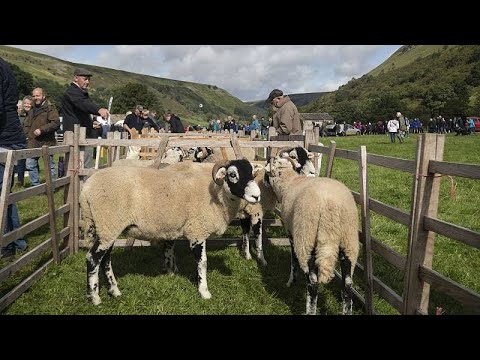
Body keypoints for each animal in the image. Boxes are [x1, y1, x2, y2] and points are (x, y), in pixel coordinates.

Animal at [82, 159, 262, 306]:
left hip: (108, 228)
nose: (257, 196)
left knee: (105, 259)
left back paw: (114, 291)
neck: (217, 195)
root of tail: (86, 188)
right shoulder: (197, 231)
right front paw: (204, 292)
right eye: (232, 174)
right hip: (109, 223)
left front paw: (171, 273)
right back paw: (95, 297)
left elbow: (169, 252)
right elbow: (202, 263)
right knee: (93, 258)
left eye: (252, 172)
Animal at [264, 156, 358, 314]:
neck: (289, 182)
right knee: (347, 284)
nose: (264, 182)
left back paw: (310, 309)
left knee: (312, 283)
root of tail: (330, 208)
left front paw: (291, 281)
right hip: (348, 241)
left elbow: (293, 260)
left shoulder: (291, 234)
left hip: (306, 238)